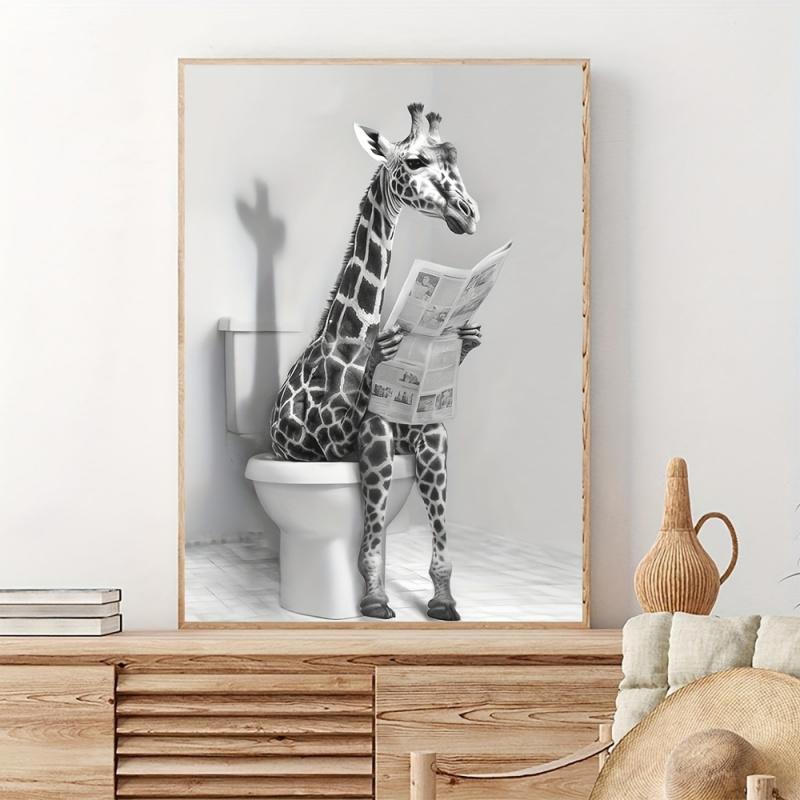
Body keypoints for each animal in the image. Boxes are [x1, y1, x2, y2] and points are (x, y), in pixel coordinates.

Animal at [270, 103, 481, 621]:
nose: (468, 215)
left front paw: (443, 599)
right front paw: (373, 597)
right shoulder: (340, 439)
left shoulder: (418, 420)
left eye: (453, 159)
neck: (344, 346)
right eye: (415, 162)